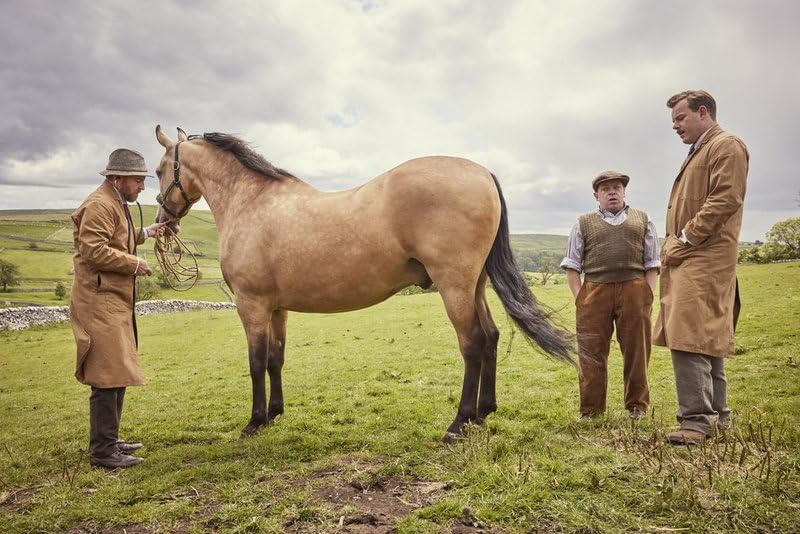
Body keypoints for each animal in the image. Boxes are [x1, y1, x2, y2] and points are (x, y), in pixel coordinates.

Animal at [153, 126, 574, 442]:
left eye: (158, 170)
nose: (163, 220)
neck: (253, 203)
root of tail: (482, 172)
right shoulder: (276, 308)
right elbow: (275, 359)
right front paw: (274, 413)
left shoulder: (251, 304)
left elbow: (256, 362)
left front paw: (255, 421)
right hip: (475, 287)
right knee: (491, 338)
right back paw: (483, 413)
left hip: (455, 287)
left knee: (472, 343)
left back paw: (459, 422)